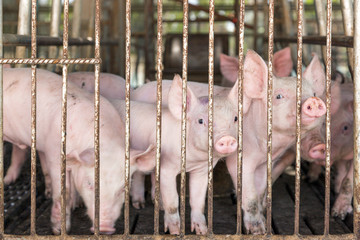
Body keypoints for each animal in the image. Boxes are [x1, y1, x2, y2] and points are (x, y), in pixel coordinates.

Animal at [2, 68, 155, 234]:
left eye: (123, 188)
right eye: (89, 183)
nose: (105, 227)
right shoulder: (54, 153)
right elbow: (63, 193)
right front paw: (59, 230)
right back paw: (6, 181)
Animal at [111, 74, 238, 233]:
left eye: (235, 118)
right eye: (200, 121)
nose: (227, 138)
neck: (192, 160)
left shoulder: (202, 170)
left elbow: (198, 200)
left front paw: (202, 231)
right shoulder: (167, 168)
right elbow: (172, 202)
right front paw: (175, 232)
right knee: (139, 175)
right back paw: (139, 205)